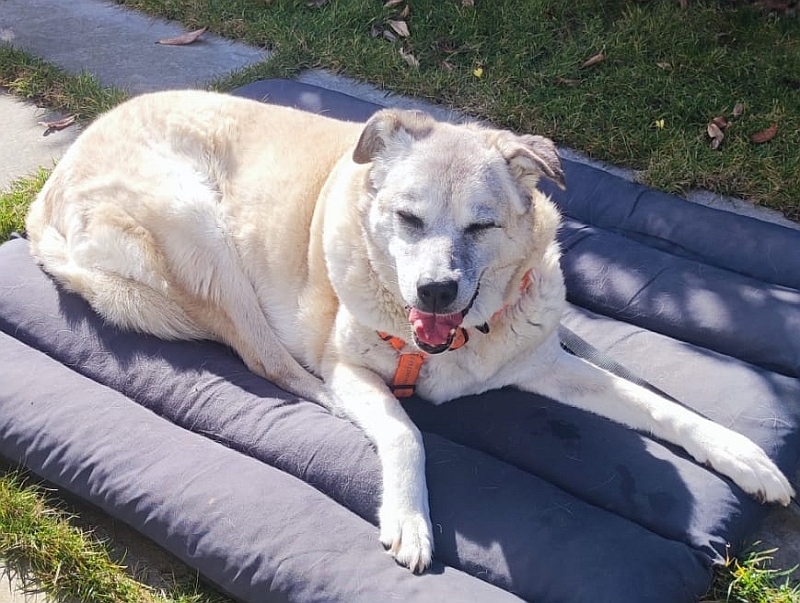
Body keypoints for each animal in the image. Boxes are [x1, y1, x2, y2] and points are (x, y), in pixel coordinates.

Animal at [25, 90, 794, 573]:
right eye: (408, 218)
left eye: (482, 225)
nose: (435, 291)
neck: (456, 342)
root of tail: (49, 187)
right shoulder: (355, 369)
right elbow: (405, 431)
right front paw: (410, 519)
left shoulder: (543, 360)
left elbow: (656, 404)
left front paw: (744, 458)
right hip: (197, 228)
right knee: (273, 364)